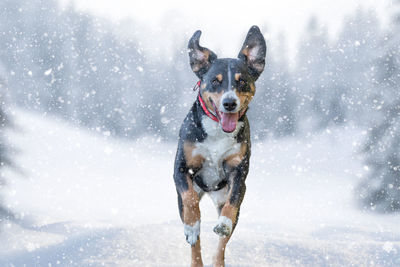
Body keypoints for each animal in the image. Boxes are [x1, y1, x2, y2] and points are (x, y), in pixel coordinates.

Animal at [173, 25, 268, 267]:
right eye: (215, 81)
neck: (217, 130)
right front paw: (192, 226)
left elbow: (232, 203)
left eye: (241, 81)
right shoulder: (180, 169)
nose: (229, 102)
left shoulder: (238, 172)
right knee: (194, 238)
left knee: (222, 242)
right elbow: (190, 199)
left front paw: (224, 223)